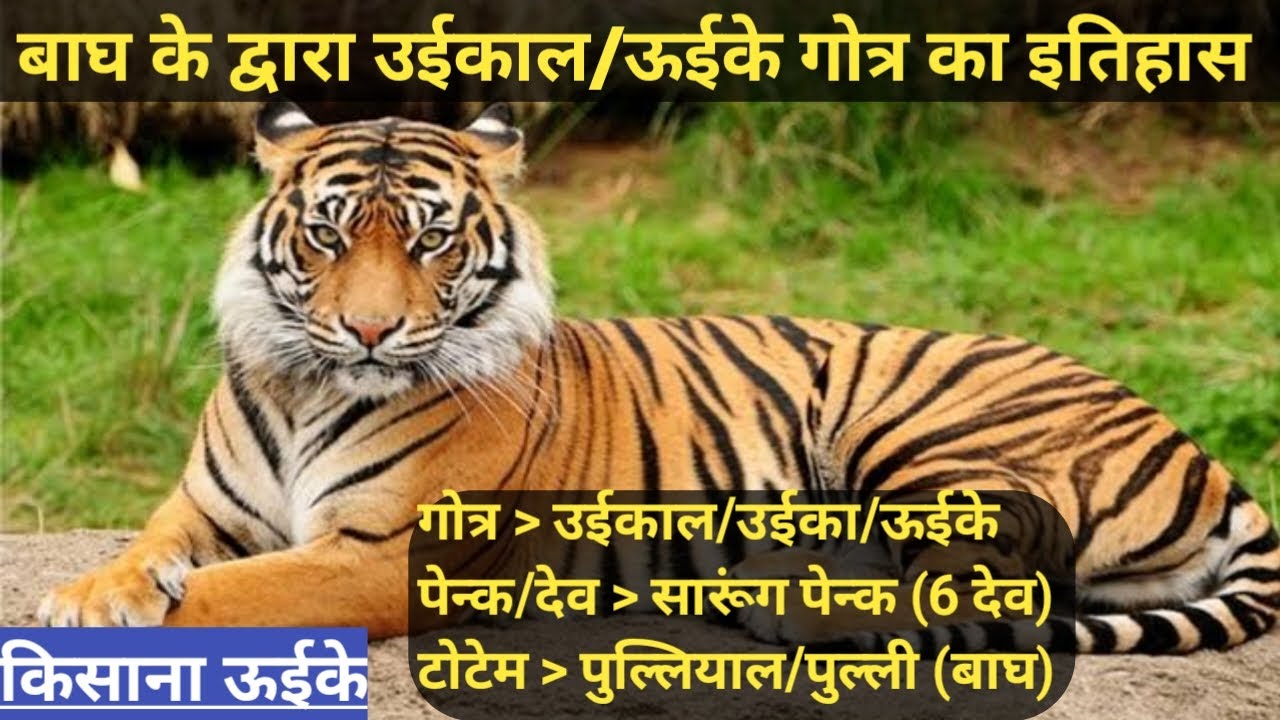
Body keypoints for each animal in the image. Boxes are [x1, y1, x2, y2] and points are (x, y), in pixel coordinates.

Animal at [38, 102, 1279, 657]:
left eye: (431, 240)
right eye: (331, 235)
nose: (372, 331)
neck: (309, 385)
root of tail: (1200, 452)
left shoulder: (386, 555)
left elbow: (229, 594)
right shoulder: (202, 505)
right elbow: (149, 554)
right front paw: (87, 593)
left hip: (926, 435)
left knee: (963, 603)